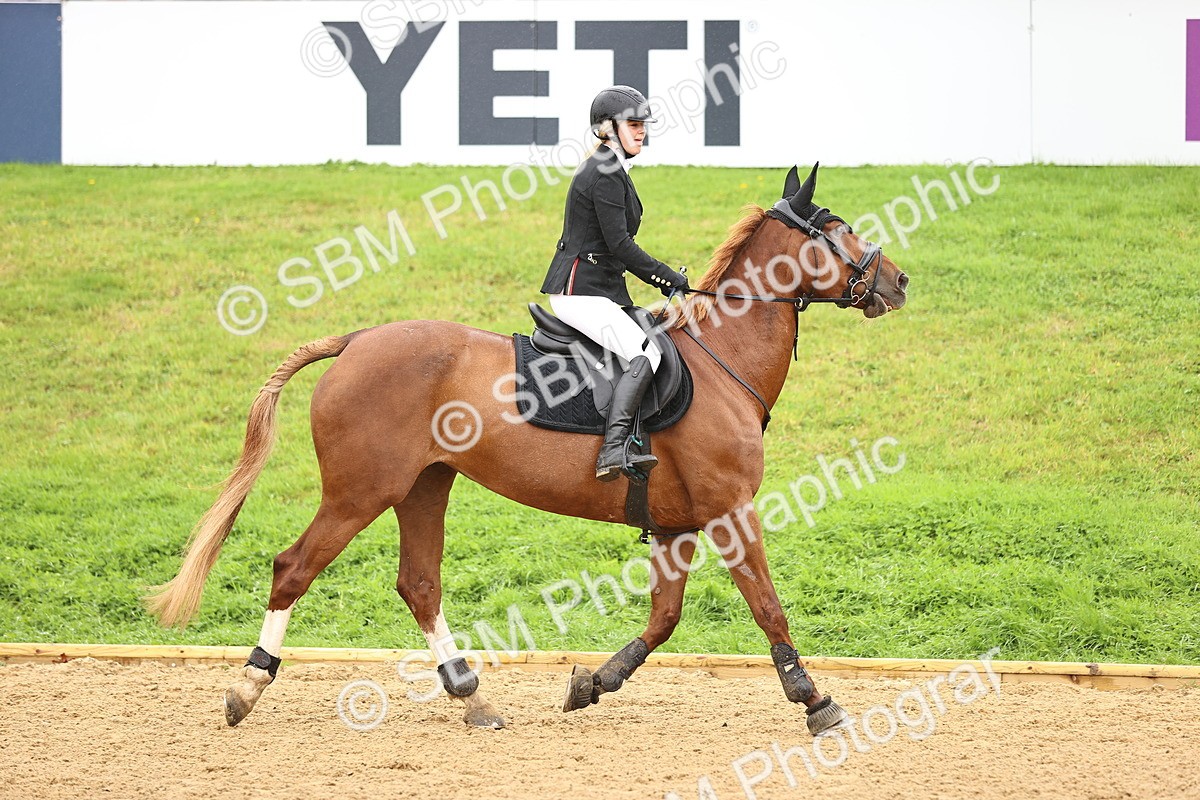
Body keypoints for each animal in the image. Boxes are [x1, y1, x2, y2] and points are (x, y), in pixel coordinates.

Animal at [147, 162, 908, 736]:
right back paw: (247, 687)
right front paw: (816, 700)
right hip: (361, 491)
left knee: (419, 584)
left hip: (424, 485)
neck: (723, 361)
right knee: (294, 568)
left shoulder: (676, 525)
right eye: (839, 230)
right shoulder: (731, 510)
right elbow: (767, 606)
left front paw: (591, 683)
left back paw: (471, 695)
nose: (897, 281)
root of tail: (357, 339)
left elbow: (662, 621)